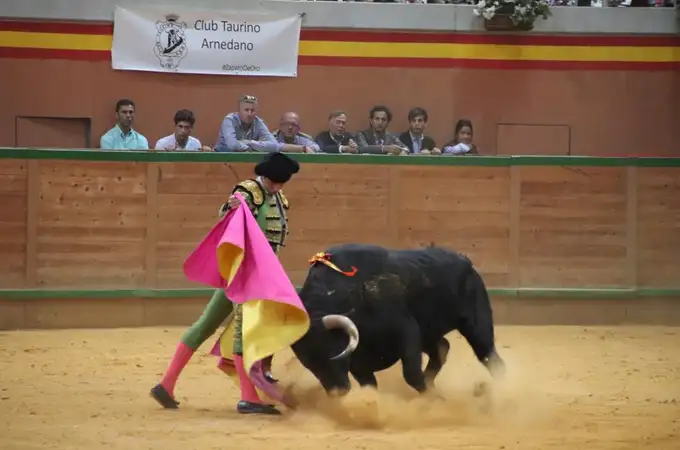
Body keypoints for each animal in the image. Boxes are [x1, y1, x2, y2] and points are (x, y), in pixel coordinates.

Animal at [290, 244, 508, 396]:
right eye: (308, 363)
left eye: (331, 351)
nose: (337, 391)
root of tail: (466, 261)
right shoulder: (359, 362)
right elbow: (369, 384)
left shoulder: (406, 330)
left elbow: (411, 374)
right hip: (429, 333)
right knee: (442, 347)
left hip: (476, 323)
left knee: (490, 357)